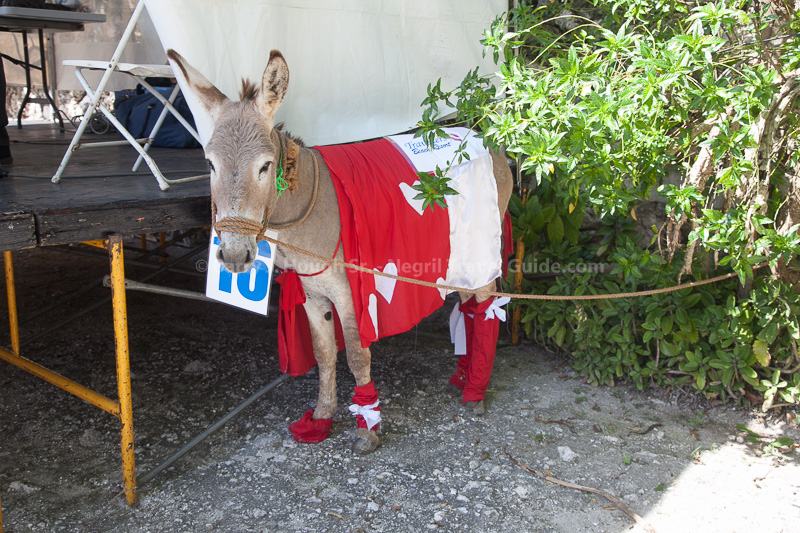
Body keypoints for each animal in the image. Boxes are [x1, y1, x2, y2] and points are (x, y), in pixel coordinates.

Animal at [167, 49, 513, 454]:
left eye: (265, 166)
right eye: (210, 164)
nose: (235, 256)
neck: (306, 208)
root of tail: (485, 136)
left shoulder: (353, 294)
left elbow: (358, 355)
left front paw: (367, 426)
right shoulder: (312, 293)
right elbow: (324, 353)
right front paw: (321, 417)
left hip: (481, 250)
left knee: (485, 308)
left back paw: (475, 390)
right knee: (469, 305)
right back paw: (462, 377)